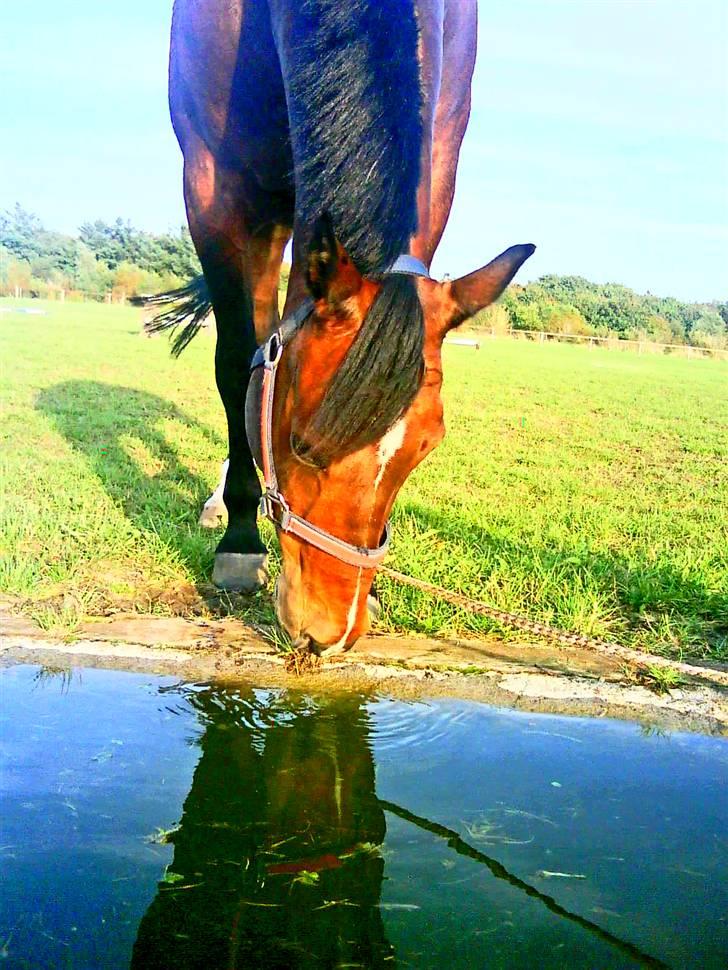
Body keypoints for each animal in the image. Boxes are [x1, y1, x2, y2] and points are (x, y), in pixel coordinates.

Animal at [162, 0, 532, 656]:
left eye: (427, 447)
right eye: (303, 446)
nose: (330, 635)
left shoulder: (436, 167)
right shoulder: (214, 187)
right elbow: (237, 367)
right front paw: (239, 542)